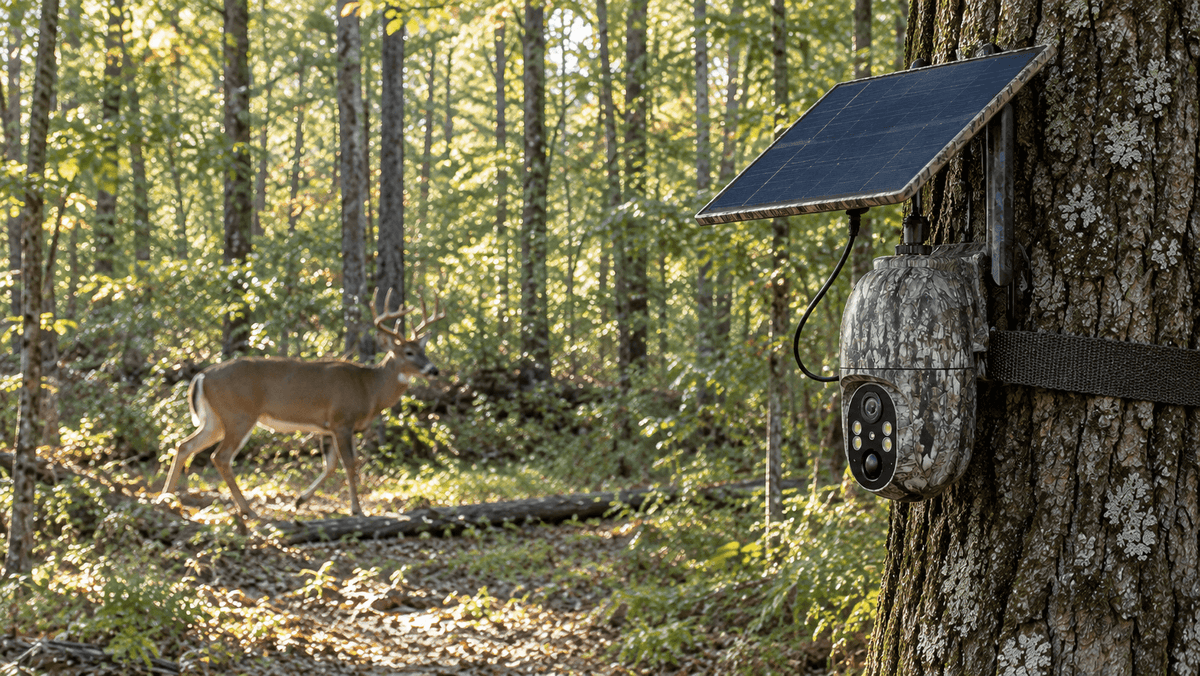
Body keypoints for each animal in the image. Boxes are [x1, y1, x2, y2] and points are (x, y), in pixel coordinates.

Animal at [159, 289, 445, 520]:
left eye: (424, 350)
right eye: (408, 352)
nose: (434, 370)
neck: (369, 388)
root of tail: (201, 376)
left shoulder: (327, 427)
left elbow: (330, 466)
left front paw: (299, 500)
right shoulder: (342, 420)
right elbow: (350, 464)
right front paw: (357, 509)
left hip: (215, 419)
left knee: (184, 445)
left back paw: (166, 499)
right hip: (238, 414)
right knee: (220, 457)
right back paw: (248, 509)